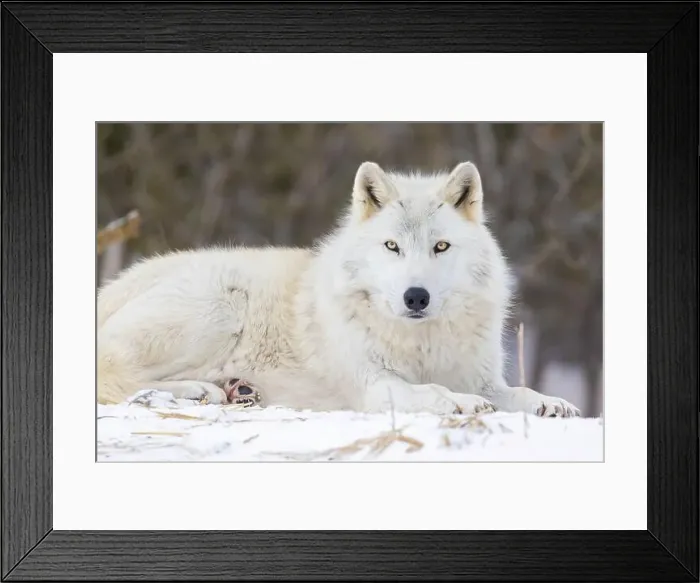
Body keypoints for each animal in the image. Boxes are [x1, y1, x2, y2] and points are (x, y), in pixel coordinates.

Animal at [97, 161, 581, 418]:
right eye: (392, 246)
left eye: (440, 246)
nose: (416, 297)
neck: (419, 342)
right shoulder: (374, 385)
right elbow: (432, 393)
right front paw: (461, 404)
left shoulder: (483, 378)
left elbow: (518, 394)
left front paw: (551, 403)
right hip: (220, 306)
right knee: (114, 375)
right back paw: (202, 392)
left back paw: (234, 390)